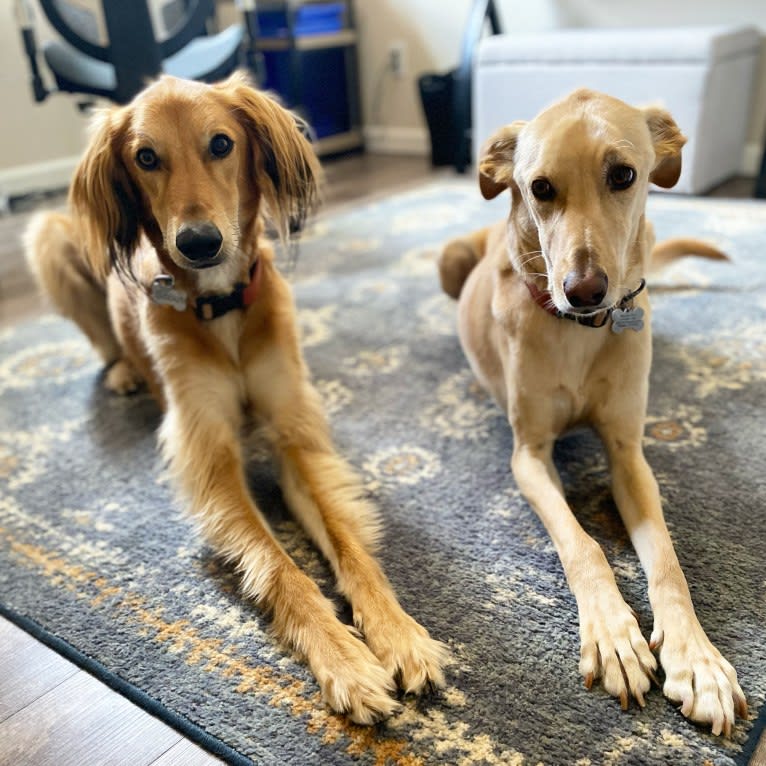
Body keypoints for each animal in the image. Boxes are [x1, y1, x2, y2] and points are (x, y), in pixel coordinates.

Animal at [27, 72, 448, 728]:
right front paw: (346, 663)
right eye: (146, 157)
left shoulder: (292, 433)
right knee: (101, 339)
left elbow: (348, 543)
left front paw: (399, 636)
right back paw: (122, 371)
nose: (199, 243)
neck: (221, 303)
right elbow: (280, 567)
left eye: (221, 144)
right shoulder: (212, 458)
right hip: (50, 237)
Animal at [444, 90, 752, 736]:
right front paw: (614, 636)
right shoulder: (529, 456)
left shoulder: (628, 452)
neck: (579, 333)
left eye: (623, 175)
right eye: (539, 187)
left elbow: (666, 558)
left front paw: (697, 659)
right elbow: (582, 544)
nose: (583, 291)